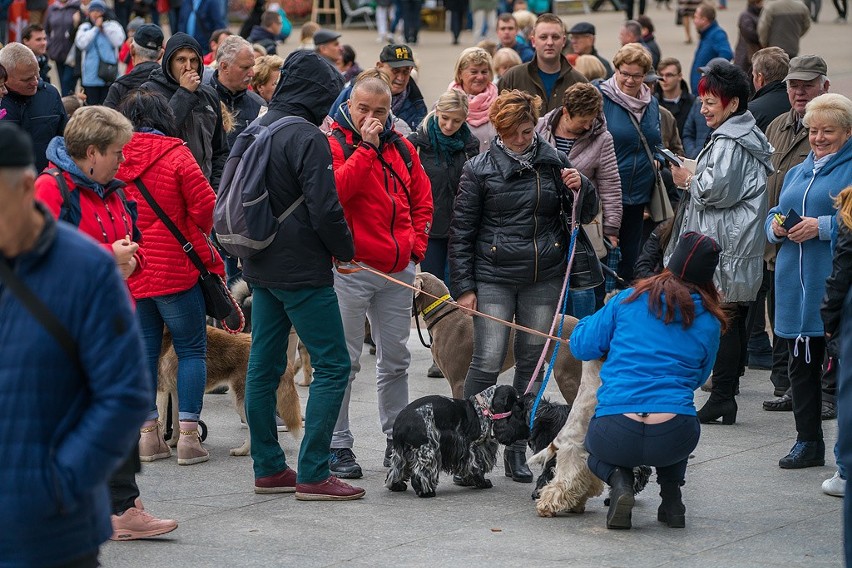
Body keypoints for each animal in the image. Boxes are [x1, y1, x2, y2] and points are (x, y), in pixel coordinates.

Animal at [157, 326, 302, 454]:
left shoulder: (161, 390)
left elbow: (161, 421)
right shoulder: (176, 392)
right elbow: (176, 421)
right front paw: (173, 443)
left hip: (240, 401)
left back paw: (243, 450)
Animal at [384, 386, 524, 496]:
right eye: (514, 400)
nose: (523, 406)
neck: (482, 406)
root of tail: (399, 424)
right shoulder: (473, 447)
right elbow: (476, 467)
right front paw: (483, 482)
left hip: (401, 452)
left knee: (396, 469)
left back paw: (397, 486)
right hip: (427, 449)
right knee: (420, 473)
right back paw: (426, 493)